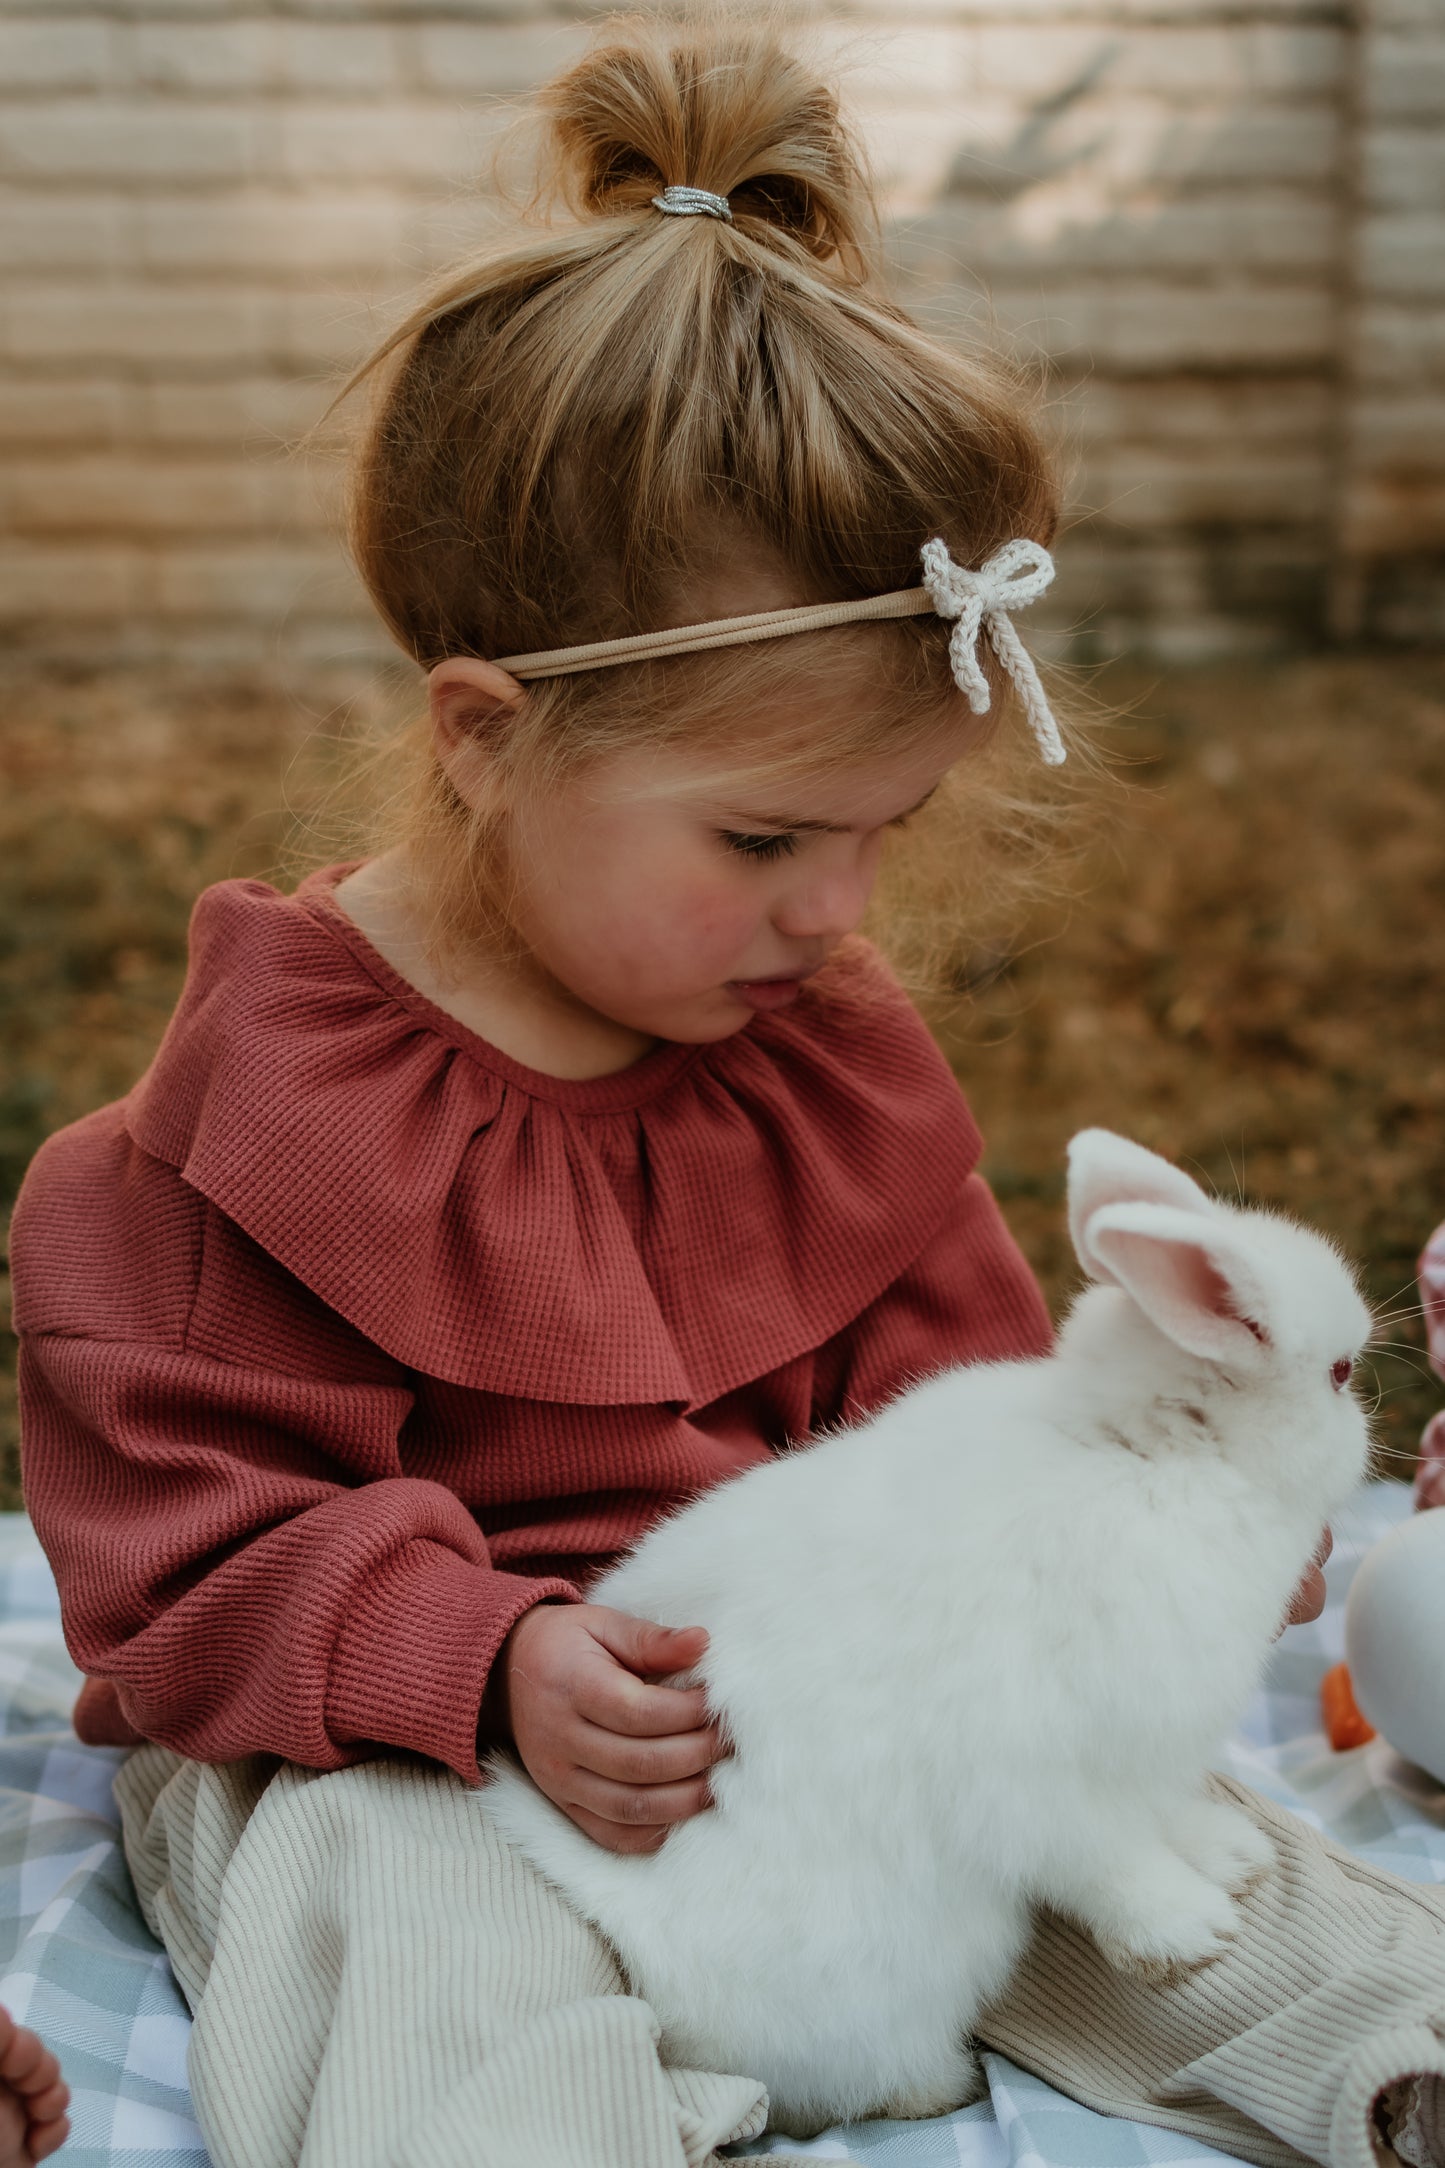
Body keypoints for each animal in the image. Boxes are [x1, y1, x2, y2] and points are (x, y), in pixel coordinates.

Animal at [480, 1136, 1377, 2133]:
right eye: (1339, 1374)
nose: (1371, 1432)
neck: (1145, 1455)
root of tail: (639, 1935)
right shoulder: (1035, 1768)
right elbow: (1104, 1859)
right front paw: (1192, 1934)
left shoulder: (1145, 1755)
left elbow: (1162, 1815)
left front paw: (1234, 1859)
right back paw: (946, 2088)